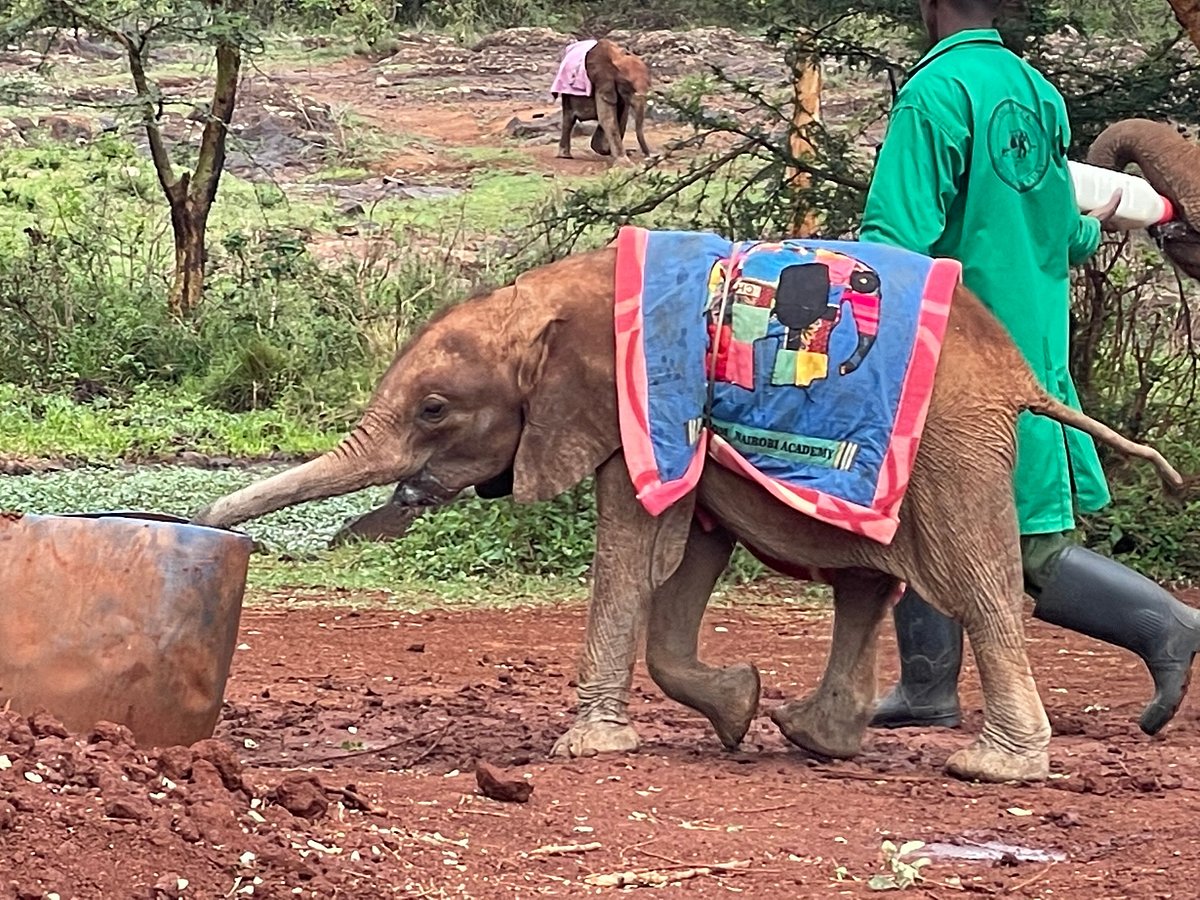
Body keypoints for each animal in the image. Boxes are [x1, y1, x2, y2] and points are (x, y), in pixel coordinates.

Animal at [192, 250, 1176, 787]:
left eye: (435, 411)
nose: (208, 526)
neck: (543, 299)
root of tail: (1022, 375)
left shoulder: (639, 400)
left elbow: (635, 552)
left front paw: (587, 748)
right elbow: (689, 550)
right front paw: (736, 710)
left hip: (946, 446)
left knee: (977, 585)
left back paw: (993, 767)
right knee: (866, 582)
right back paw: (813, 737)